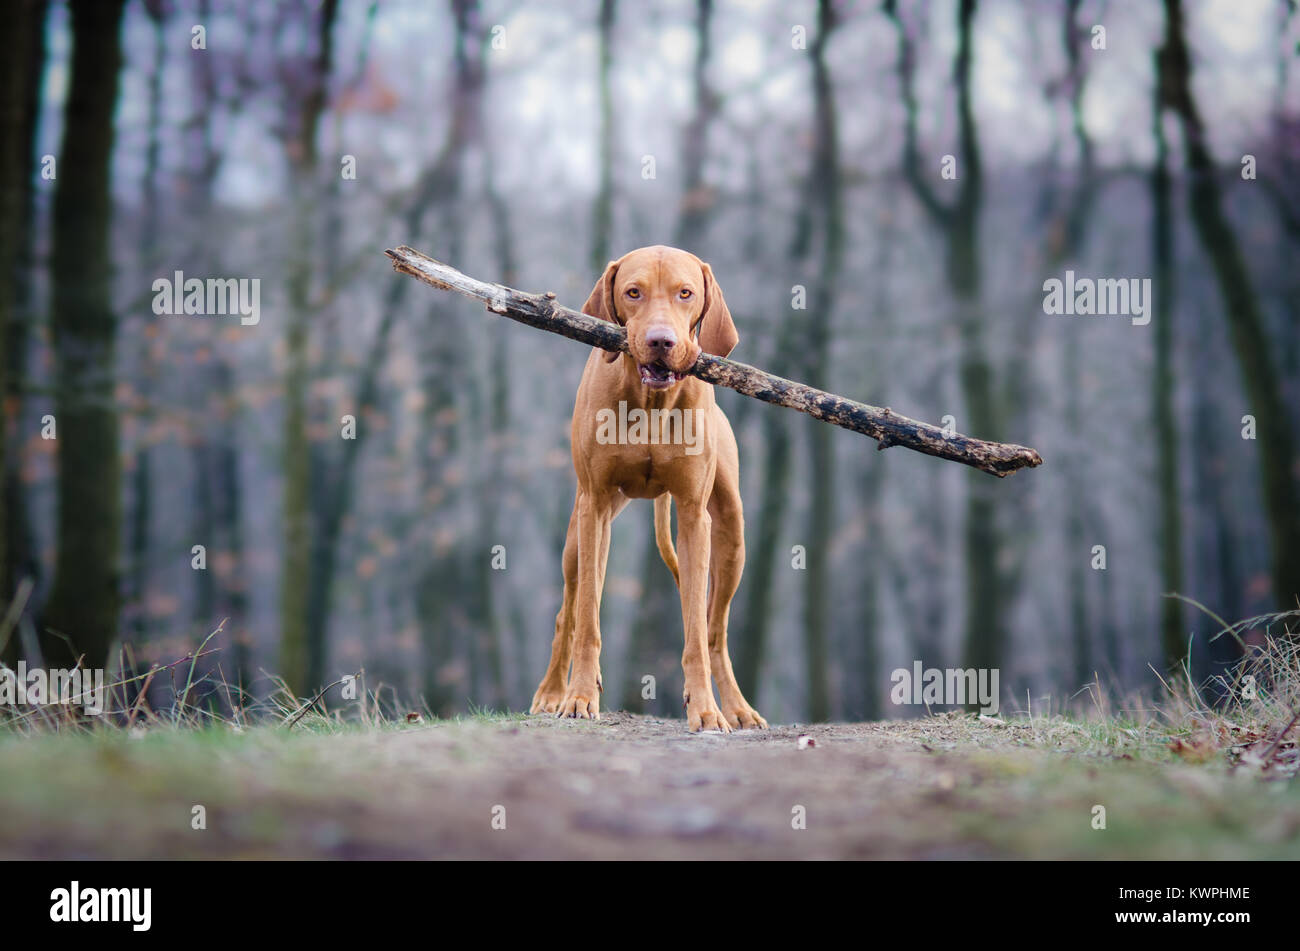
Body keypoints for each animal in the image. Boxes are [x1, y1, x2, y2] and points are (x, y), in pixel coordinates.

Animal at [527, 242, 764, 727]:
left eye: (685, 293)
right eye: (633, 292)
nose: (660, 341)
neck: (651, 403)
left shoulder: (693, 515)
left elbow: (695, 633)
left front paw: (705, 709)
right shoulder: (595, 506)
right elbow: (587, 621)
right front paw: (579, 697)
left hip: (732, 535)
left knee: (714, 630)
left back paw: (736, 708)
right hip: (579, 535)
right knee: (569, 612)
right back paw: (552, 691)